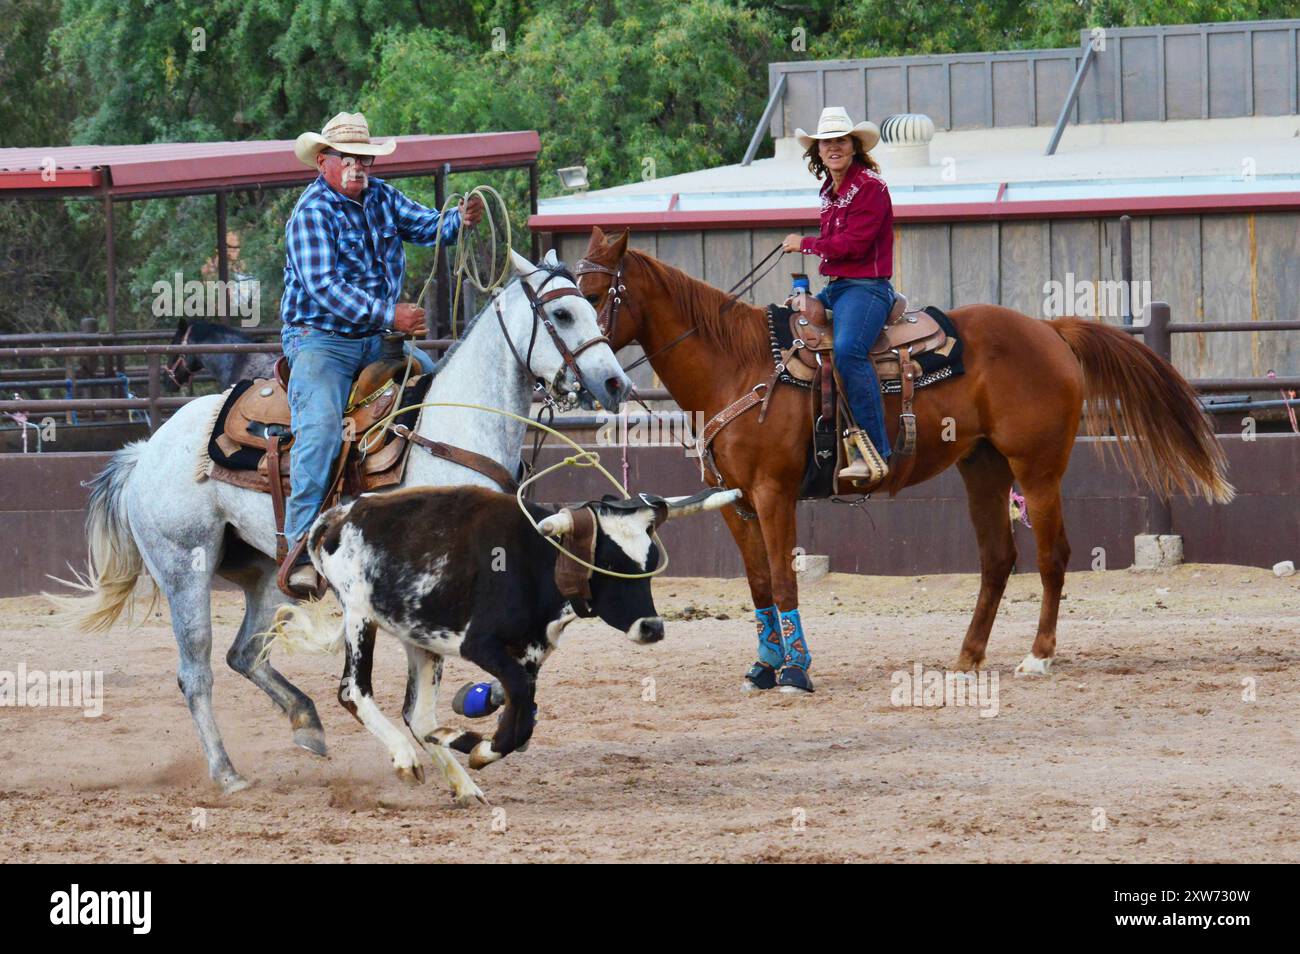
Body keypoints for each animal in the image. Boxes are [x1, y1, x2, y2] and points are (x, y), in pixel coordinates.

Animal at [269, 480, 738, 805]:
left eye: (649, 561)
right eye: (606, 561)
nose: (652, 627)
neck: (537, 561)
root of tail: (339, 514)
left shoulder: (529, 656)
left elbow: (521, 718)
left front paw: (475, 746)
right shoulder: (482, 647)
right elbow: (518, 713)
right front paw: (478, 746)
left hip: (419, 637)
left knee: (418, 715)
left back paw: (459, 776)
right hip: (360, 616)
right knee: (353, 691)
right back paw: (406, 757)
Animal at [574, 108, 1232, 696]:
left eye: (596, 293)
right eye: (564, 288)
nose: (586, 376)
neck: (738, 366)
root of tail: (1050, 329)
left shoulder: (774, 494)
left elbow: (784, 584)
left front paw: (796, 673)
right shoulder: (735, 503)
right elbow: (759, 586)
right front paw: (763, 669)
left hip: (1037, 467)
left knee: (1053, 554)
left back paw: (1039, 656)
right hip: (983, 465)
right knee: (998, 558)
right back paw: (967, 657)